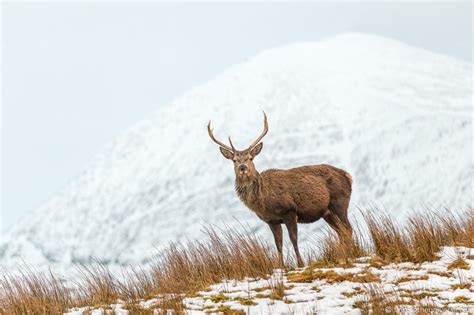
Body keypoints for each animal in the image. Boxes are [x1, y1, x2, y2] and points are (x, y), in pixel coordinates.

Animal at [207, 112, 352, 268]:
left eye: (250, 158)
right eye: (234, 160)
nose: (243, 167)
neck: (263, 200)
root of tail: (348, 176)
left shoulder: (289, 211)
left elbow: (293, 239)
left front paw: (300, 264)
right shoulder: (272, 220)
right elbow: (279, 244)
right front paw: (281, 267)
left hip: (339, 203)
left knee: (348, 229)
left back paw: (347, 255)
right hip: (327, 212)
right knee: (341, 232)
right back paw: (342, 255)